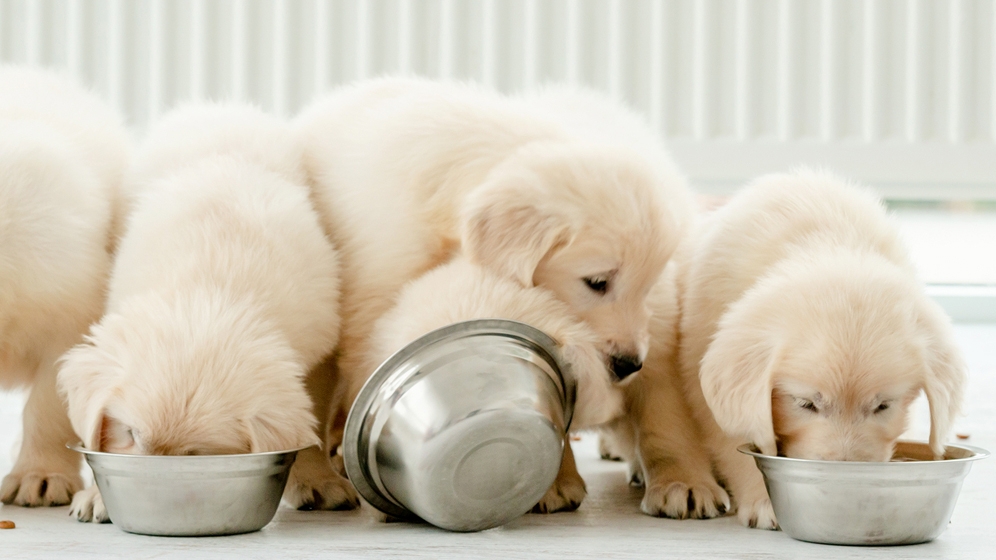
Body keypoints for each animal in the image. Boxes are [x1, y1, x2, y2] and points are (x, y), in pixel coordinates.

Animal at [56, 103, 356, 524]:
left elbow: (312, 417)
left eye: (194, 456)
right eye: (129, 434)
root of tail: (218, 107)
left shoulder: (320, 349)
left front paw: (318, 479)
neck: (209, 294)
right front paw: (98, 496)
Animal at [676, 171, 964, 528]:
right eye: (805, 404)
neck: (828, 240)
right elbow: (740, 438)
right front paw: (764, 500)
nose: (845, 481)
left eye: (883, 406)